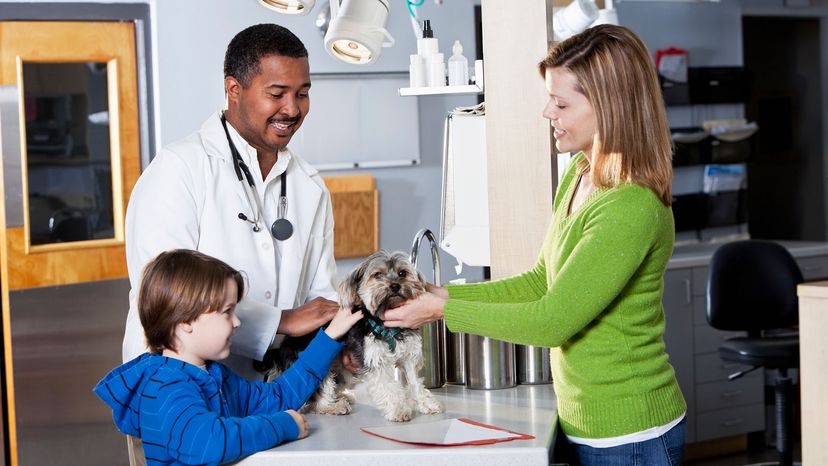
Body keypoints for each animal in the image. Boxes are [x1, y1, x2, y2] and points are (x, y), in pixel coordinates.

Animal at [258, 251, 444, 422]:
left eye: (402, 273)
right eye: (377, 274)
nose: (395, 286)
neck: (387, 324)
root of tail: (281, 350)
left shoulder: (409, 357)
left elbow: (415, 382)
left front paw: (427, 403)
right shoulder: (374, 361)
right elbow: (388, 386)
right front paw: (398, 410)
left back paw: (342, 397)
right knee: (317, 398)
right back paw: (334, 406)